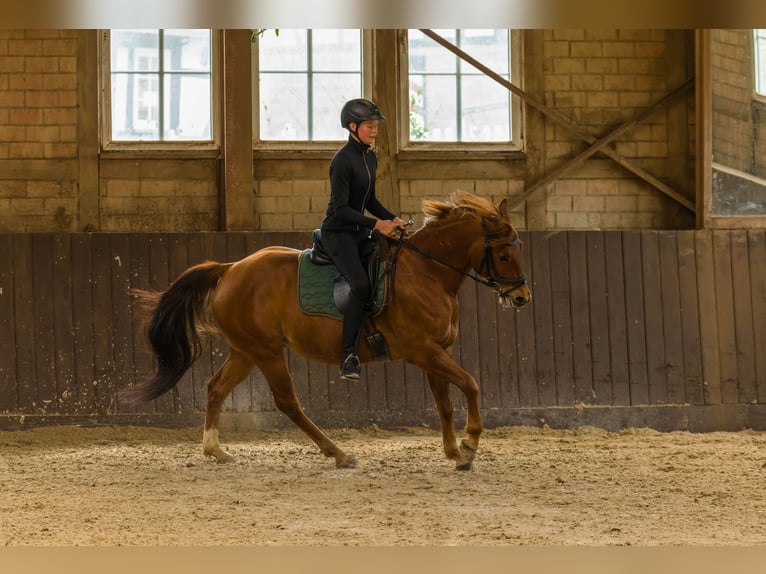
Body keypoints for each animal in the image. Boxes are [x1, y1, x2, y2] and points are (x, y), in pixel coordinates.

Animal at [127, 191, 536, 470]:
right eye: (503, 254)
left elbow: (445, 402)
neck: (426, 273)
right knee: (287, 402)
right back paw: (338, 453)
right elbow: (470, 384)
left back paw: (215, 450)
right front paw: (470, 443)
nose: (521, 298)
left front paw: (454, 452)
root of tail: (230, 269)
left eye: (518, 249)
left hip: (246, 351)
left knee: (216, 388)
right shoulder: (422, 349)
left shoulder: (437, 351)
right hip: (266, 352)